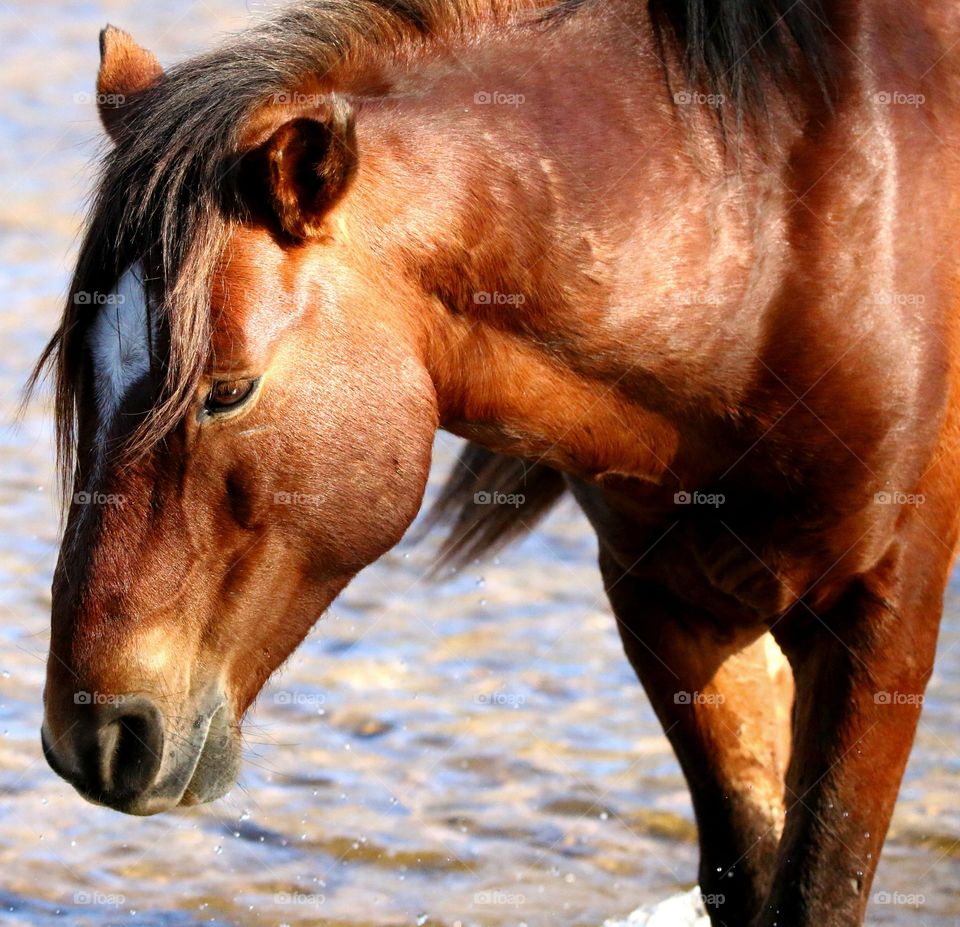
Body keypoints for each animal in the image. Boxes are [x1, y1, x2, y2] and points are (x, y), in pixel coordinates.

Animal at [31, 0, 960, 924]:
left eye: (227, 391)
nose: (94, 734)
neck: (779, 243)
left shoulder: (884, 616)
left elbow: (818, 884)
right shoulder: (672, 607)